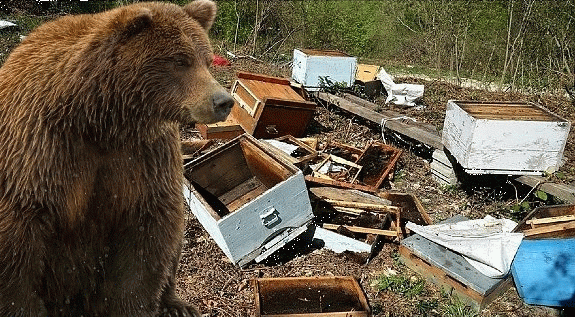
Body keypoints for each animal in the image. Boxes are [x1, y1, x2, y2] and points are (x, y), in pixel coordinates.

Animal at [0, 1, 234, 314]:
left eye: (207, 60)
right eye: (180, 60)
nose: (223, 101)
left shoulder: (143, 156)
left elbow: (146, 237)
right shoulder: (41, 150)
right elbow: (18, 251)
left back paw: (177, 304)